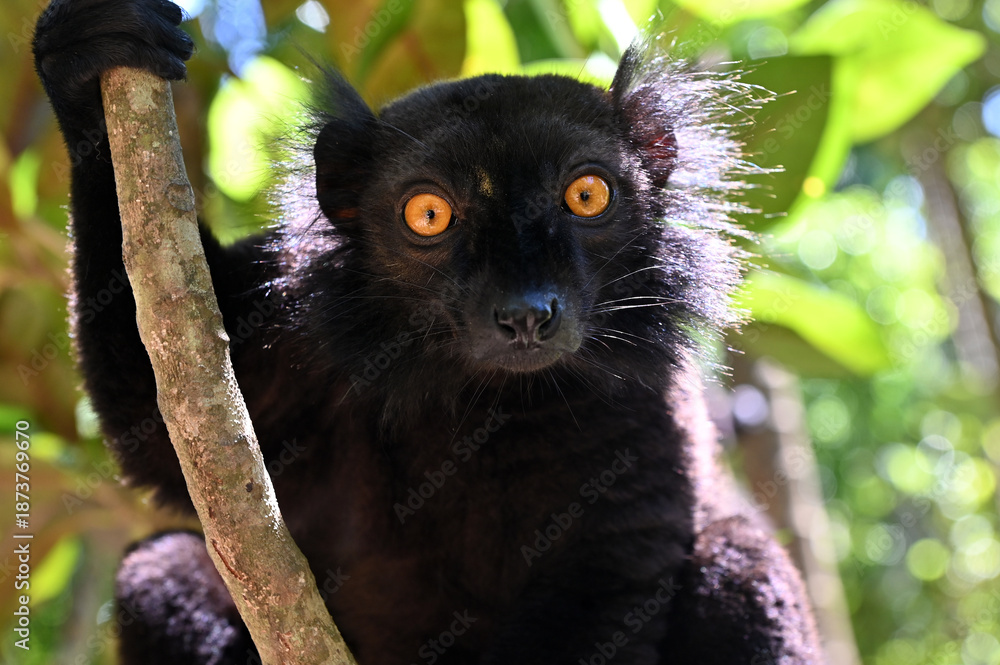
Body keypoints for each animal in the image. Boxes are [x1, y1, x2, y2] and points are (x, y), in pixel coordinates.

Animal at [33, 0, 821, 663]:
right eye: (429, 215)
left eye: (587, 194)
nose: (526, 313)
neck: (480, 391)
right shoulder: (290, 320)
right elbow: (165, 430)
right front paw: (87, 60)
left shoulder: (644, 408)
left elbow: (601, 586)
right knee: (159, 567)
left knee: (743, 559)